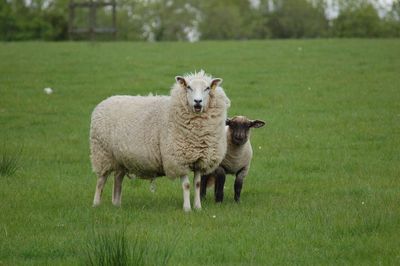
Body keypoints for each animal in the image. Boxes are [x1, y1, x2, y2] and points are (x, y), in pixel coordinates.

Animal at [89, 69, 230, 211]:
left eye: (207, 88)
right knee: (101, 181)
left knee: (118, 179)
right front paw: (187, 209)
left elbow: (197, 184)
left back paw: (117, 204)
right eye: (188, 87)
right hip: (102, 154)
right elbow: (186, 185)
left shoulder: (199, 160)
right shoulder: (179, 160)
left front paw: (198, 207)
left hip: (120, 158)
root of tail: (105, 101)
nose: (197, 101)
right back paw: (96, 204)